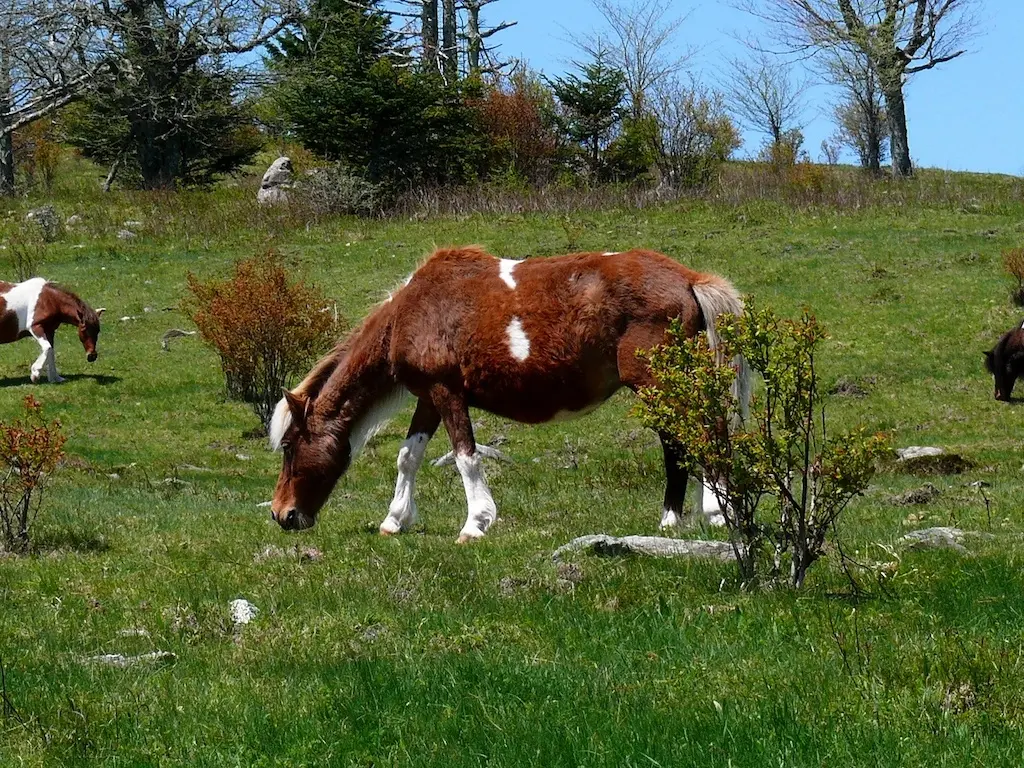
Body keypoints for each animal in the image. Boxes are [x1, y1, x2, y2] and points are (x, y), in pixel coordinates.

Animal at [270, 246, 753, 540]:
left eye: (290, 446)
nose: (282, 514)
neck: (415, 308)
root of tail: (689, 278)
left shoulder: (448, 393)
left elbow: (466, 456)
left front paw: (476, 524)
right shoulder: (429, 397)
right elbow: (408, 456)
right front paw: (395, 520)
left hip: (659, 384)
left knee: (702, 437)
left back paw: (713, 513)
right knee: (683, 444)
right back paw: (676, 519)